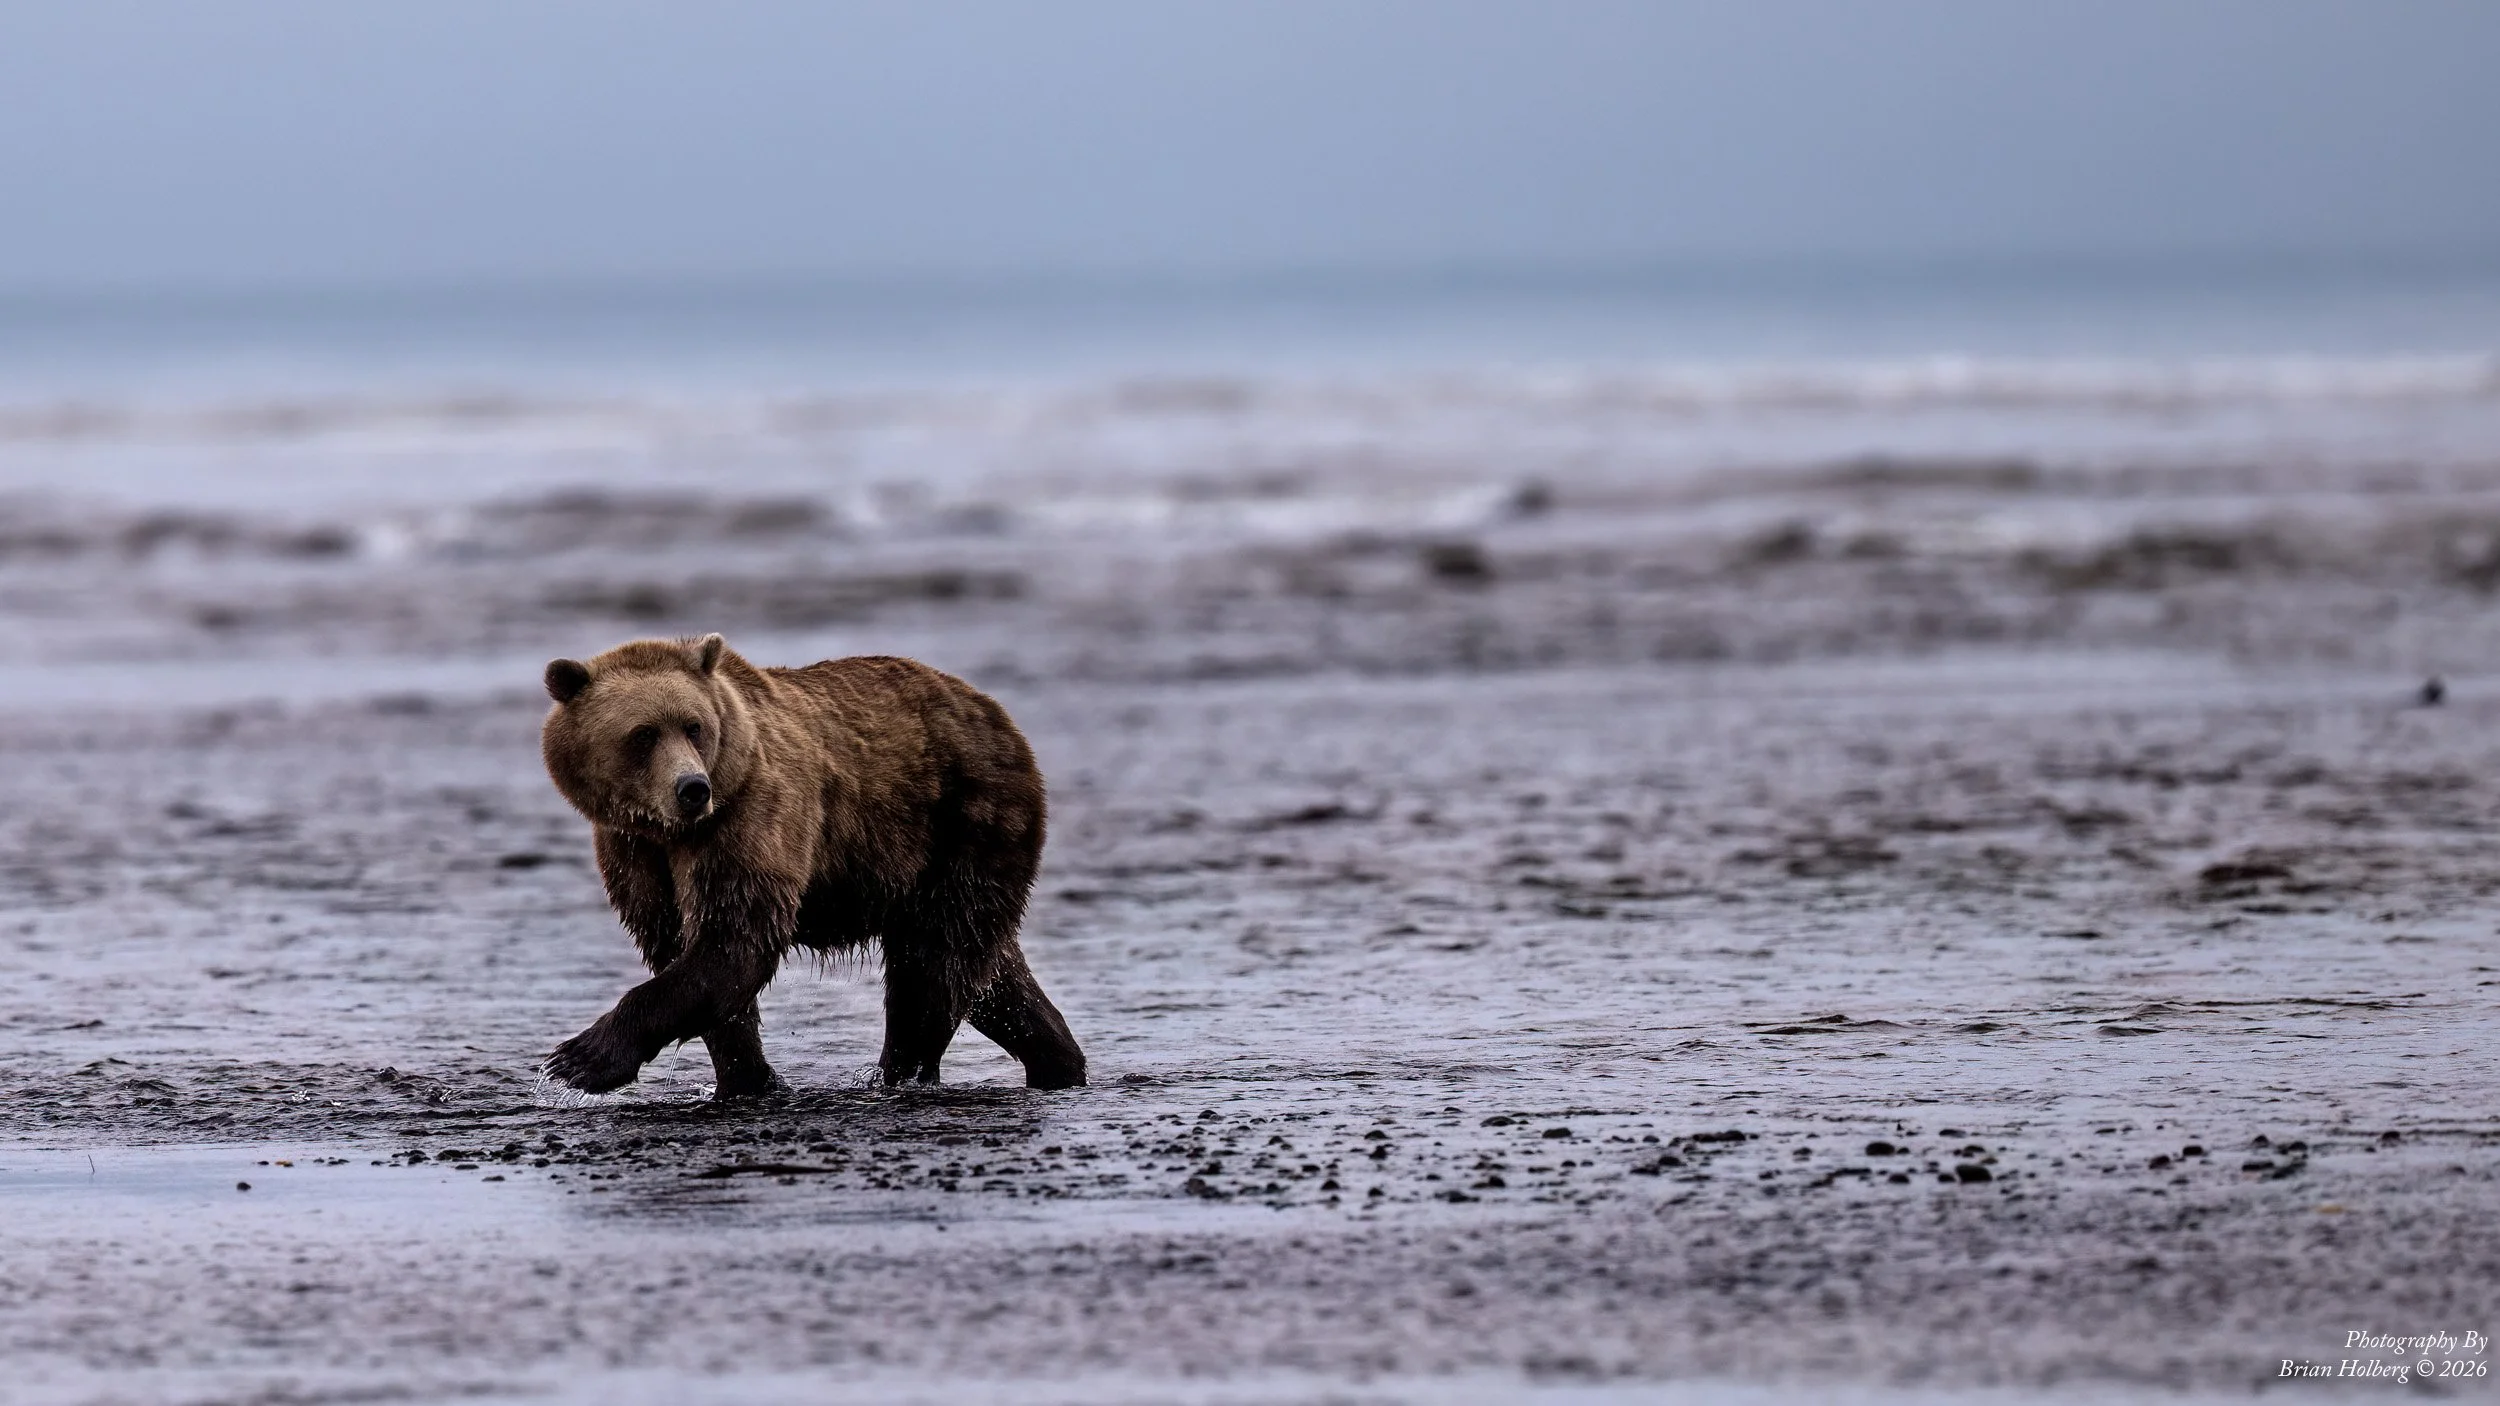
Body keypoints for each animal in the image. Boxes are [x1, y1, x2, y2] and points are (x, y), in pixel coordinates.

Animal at [537, 633, 1085, 1097]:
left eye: (694, 727)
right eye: (643, 734)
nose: (692, 788)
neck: (672, 832)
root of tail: (992, 707)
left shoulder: (751, 818)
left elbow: (735, 939)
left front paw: (577, 1060)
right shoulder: (633, 851)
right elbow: (679, 947)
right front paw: (748, 1078)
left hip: (962, 820)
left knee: (933, 966)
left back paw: (899, 1075)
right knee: (990, 977)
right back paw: (1058, 1061)